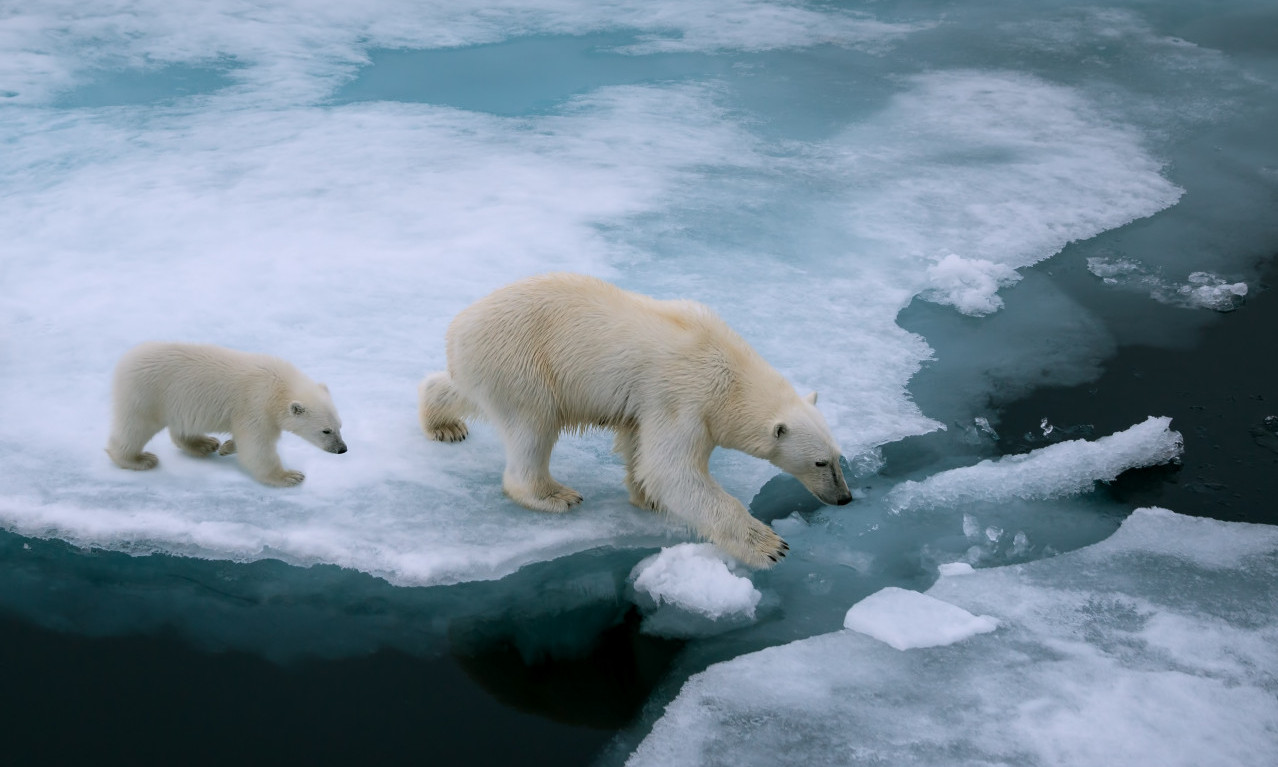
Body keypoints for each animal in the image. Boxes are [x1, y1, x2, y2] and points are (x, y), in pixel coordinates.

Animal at [419, 272, 853, 565]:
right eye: (821, 462)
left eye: (839, 457)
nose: (845, 498)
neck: (730, 370)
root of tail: (458, 328)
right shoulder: (685, 397)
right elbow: (671, 469)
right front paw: (770, 545)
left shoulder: (651, 403)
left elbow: (640, 447)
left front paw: (646, 496)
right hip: (522, 362)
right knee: (533, 426)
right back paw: (554, 494)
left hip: (487, 366)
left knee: (463, 390)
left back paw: (442, 422)